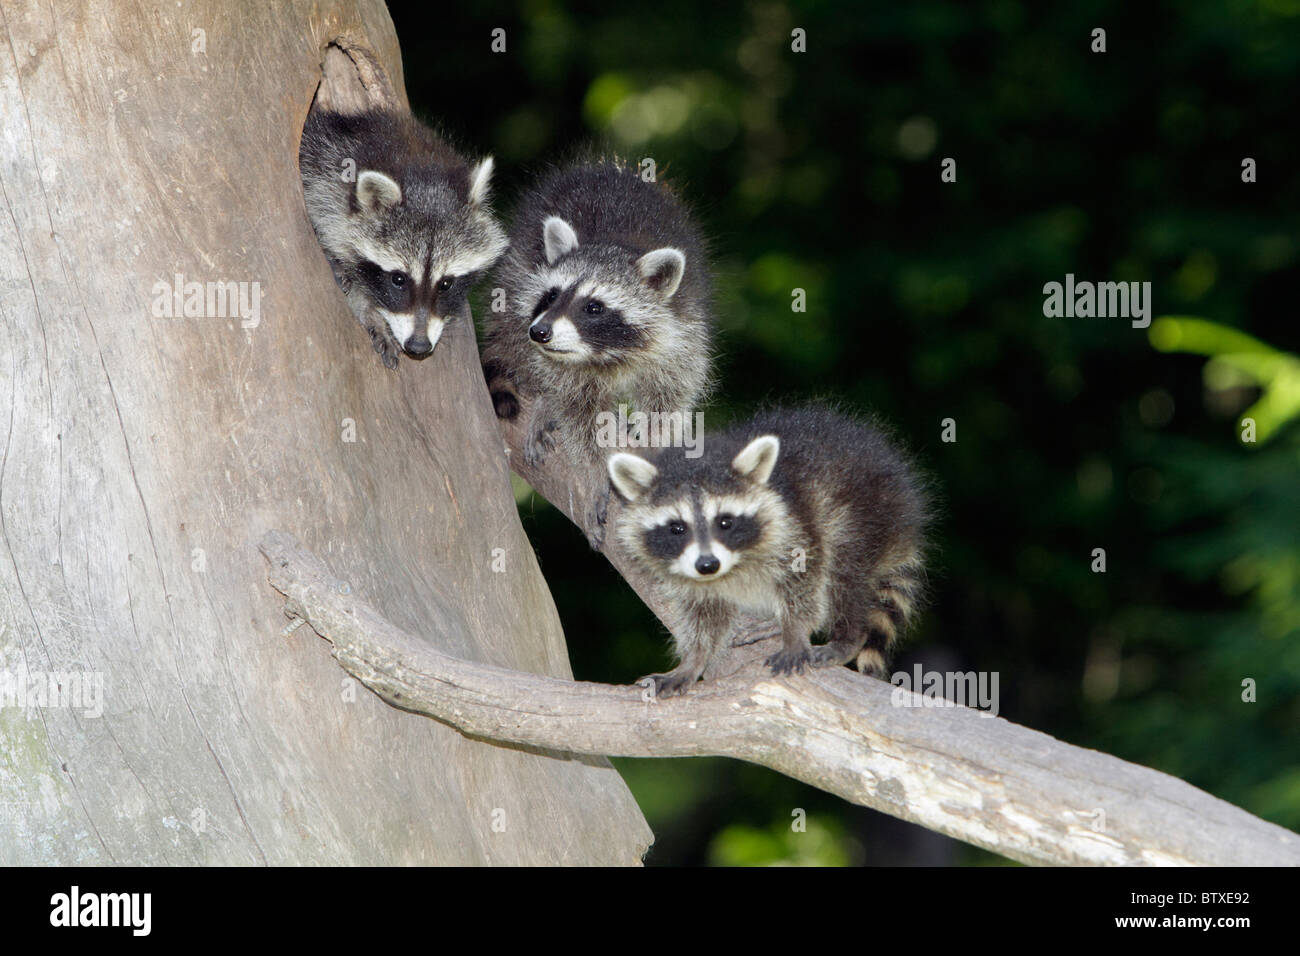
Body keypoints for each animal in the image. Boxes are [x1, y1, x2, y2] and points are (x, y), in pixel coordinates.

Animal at [481, 161, 713, 541]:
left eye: (593, 307)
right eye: (551, 295)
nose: (540, 332)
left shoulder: (683, 331)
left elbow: (668, 401)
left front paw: (656, 448)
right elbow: (579, 416)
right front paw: (594, 473)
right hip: (515, 276)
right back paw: (544, 399)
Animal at [608, 405, 929, 697]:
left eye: (725, 522)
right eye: (677, 528)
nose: (708, 565)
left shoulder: (795, 523)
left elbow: (805, 578)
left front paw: (796, 631)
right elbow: (702, 614)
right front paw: (693, 660)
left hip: (865, 513)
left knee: (844, 572)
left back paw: (846, 636)